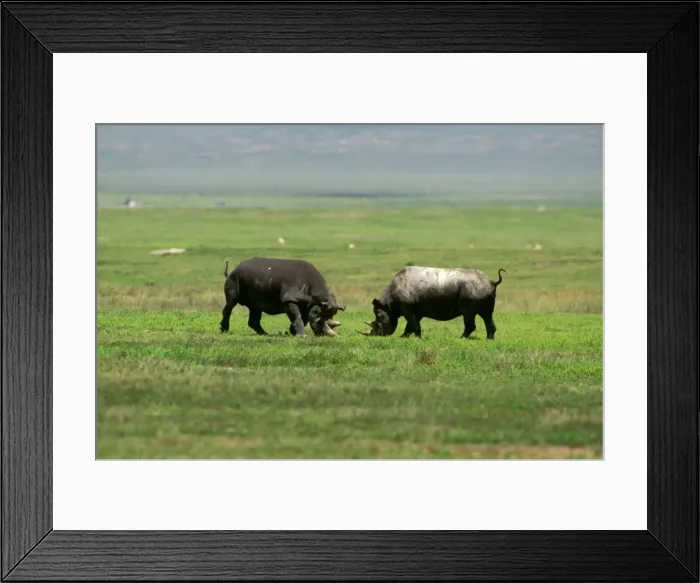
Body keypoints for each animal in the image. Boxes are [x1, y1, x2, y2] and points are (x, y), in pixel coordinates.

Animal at [358, 266, 505, 339]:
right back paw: (489, 339)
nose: (376, 335)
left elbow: (411, 323)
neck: (388, 305)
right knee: (487, 315)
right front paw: (414, 338)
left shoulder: (407, 307)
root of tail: (491, 282)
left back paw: (461, 338)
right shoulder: (416, 310)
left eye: (378, 322)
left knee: (469, 315)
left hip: (472, 291)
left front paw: (405, 337)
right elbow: (414, 324)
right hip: (481, 290)